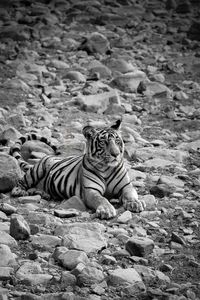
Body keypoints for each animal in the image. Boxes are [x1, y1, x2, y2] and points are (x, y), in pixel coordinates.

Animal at [9, 119, 145, 220]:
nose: (115, 154)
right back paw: (19, 191)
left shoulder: (126, 186)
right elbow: (101, 198)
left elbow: (130, 195)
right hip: (38, 169)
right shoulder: (91, 191)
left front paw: (135, 203)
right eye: (104, 143)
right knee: (22, 181)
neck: (107, 168)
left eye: (117, 141)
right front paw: (106, 209)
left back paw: (43, 193)